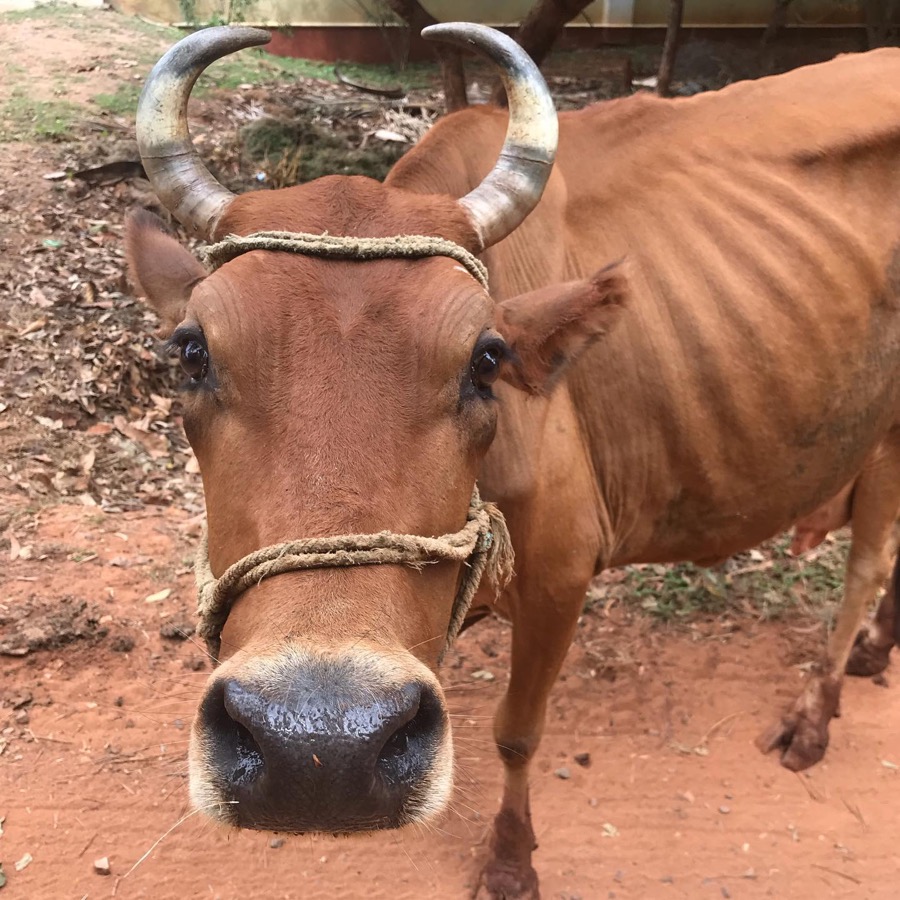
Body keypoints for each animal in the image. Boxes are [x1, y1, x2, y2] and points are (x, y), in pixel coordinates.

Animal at [125, 23, 900, 899]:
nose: (317, 748)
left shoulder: (562, 574)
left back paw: (815, 715)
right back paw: (875, 650)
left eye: (486, 359)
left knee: (869, 565)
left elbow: (517, 733)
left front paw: (510, 857)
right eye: (192, 351)